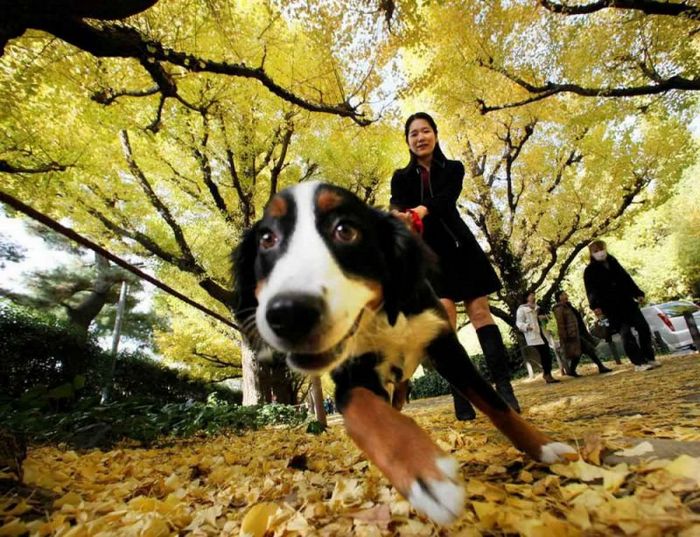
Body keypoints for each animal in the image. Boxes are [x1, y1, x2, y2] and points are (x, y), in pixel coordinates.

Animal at [232, 181, 576, 524]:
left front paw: (544, 447)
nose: (288, 313)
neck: (383, 317)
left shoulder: (447, 347)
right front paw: (425, 473)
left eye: (345, 230)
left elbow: (496, 405)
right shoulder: (350, 377)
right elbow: (370, 413)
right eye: (266, 238)